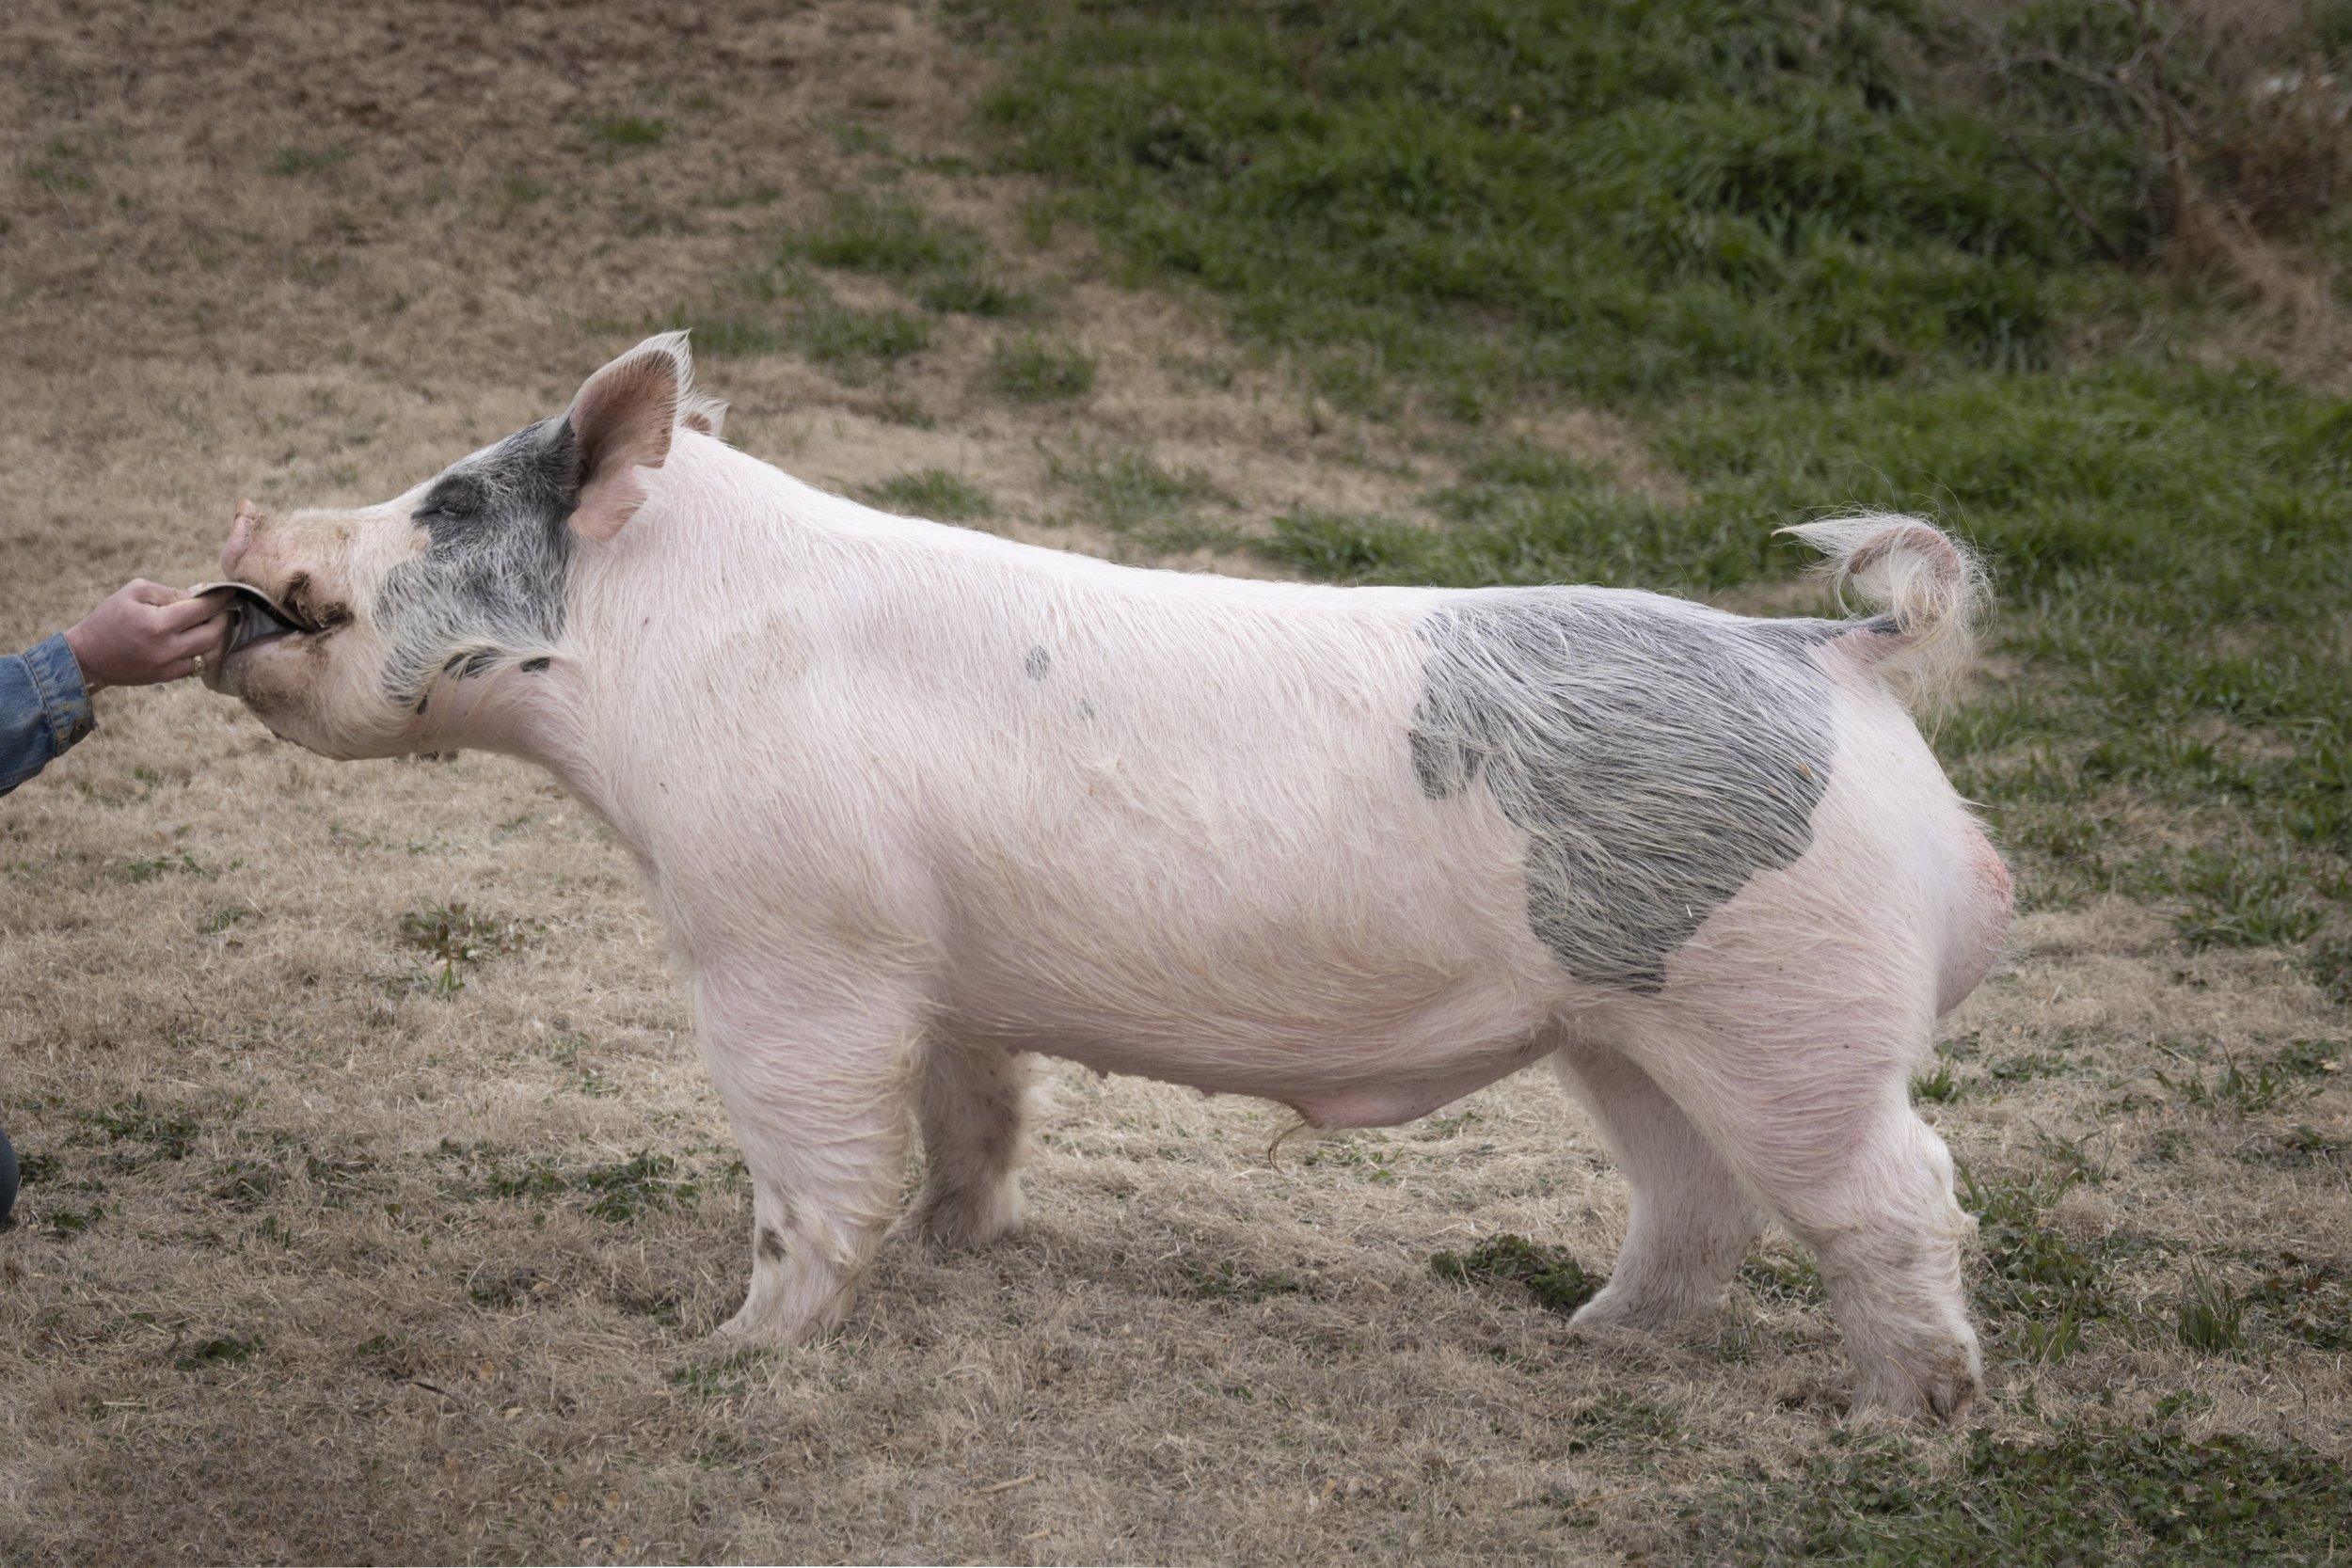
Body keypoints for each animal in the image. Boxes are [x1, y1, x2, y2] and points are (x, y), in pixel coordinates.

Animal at [209, 332, 2012, 1421]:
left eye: (449, 499)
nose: (246, 534)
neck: (653, 663)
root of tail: (1827, 652)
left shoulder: (784, 933)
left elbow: (808, 1156)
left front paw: (730, 1349)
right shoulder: (932, 965)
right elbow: (970, 1103)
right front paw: (959, 1244)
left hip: (1792, 1009)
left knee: (1899, 1190)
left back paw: (1903, 1420)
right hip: (1626, 1022)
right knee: (1701, 1194)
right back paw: (1587, 1335)